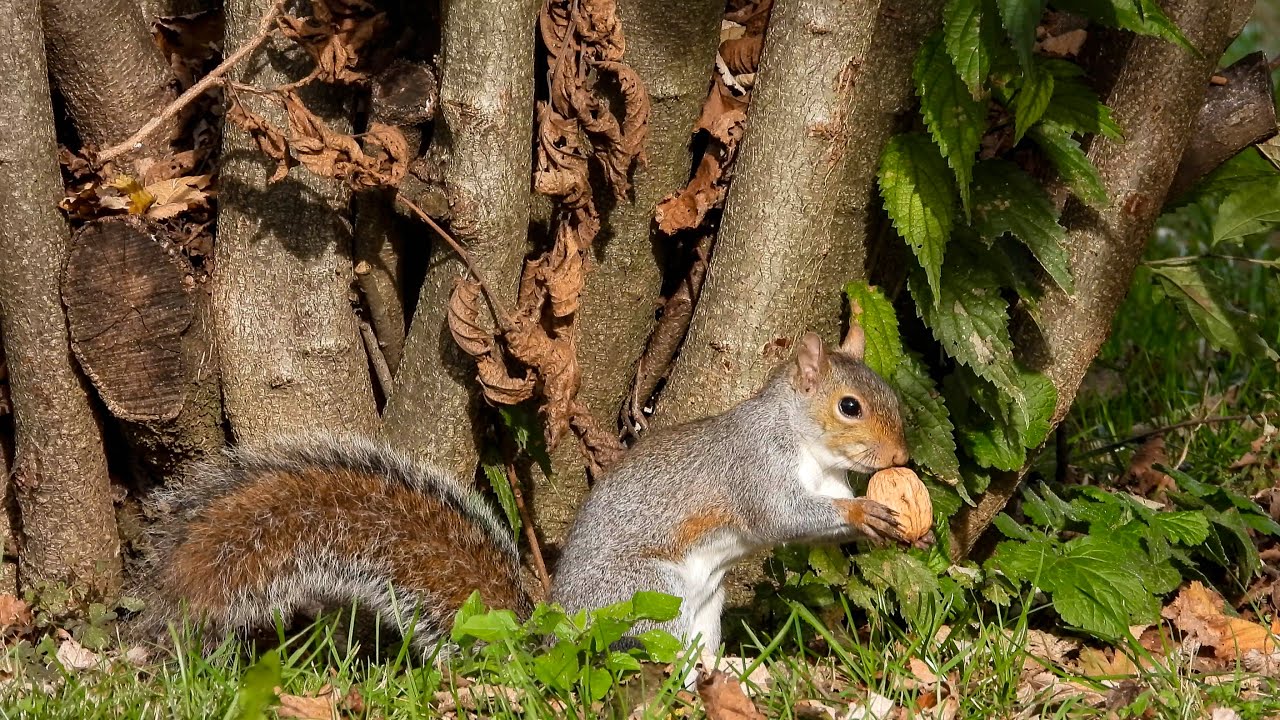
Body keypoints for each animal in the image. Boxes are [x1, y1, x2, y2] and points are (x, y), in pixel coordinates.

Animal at [135, 326, 909, 659]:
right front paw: (864, 510)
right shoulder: (754, 470)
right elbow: (783, 516)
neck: (806, 446)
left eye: (891, 395)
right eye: (849, 407)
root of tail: (553, 632)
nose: (902, 458)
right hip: (650, 594)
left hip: (702, 611)